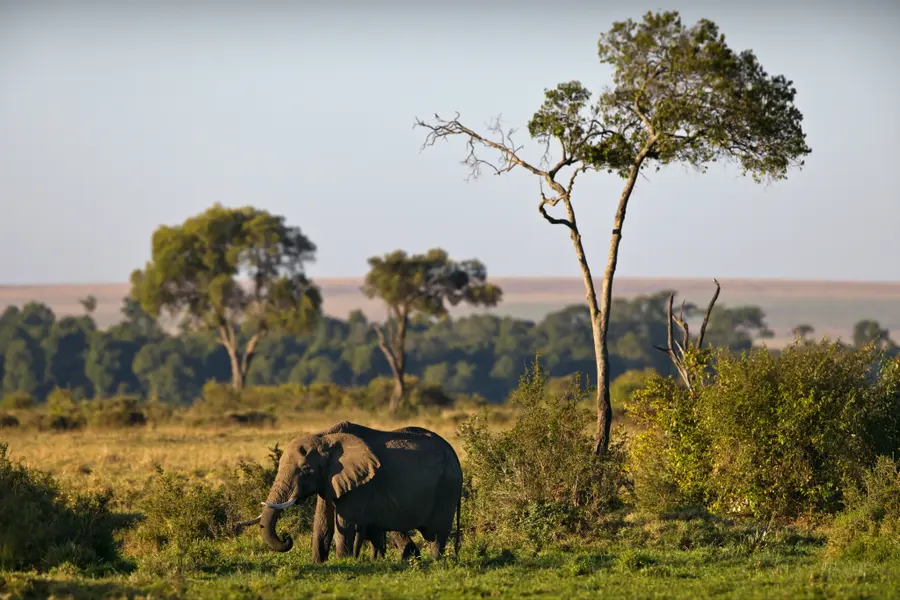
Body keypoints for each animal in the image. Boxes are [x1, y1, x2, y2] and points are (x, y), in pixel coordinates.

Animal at [253, 420, 462, 560]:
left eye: (305, 470)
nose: (287, 538)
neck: (325, 438)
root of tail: (454, 454)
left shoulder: (361, 484)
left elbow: (344, 524)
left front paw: (343, 562)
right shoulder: (329, 480)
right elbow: (322, 522)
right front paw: (319, 563)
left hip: (447, 487)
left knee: (438, 533)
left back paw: (435, 562)